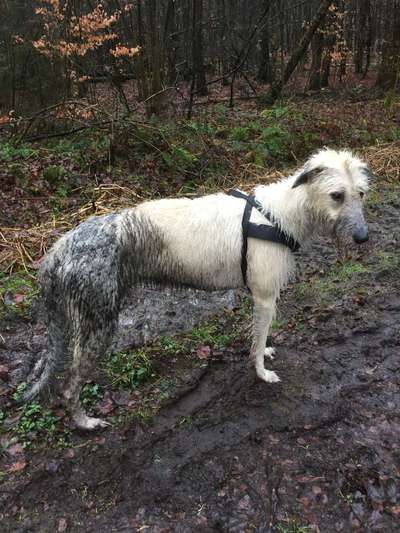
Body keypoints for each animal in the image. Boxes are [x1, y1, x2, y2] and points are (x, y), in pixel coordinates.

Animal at [23, 147, 370, 428]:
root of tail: (60, 248)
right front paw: (261, 371)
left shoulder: (262, 298)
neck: (281, 214)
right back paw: (84, 422)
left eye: (361, 193)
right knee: (69, 385)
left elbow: (261, 337)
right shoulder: (264, 296)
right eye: (337, 195)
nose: (363, 237)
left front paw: (266, 350)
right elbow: (257, 344)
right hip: (98, 325)